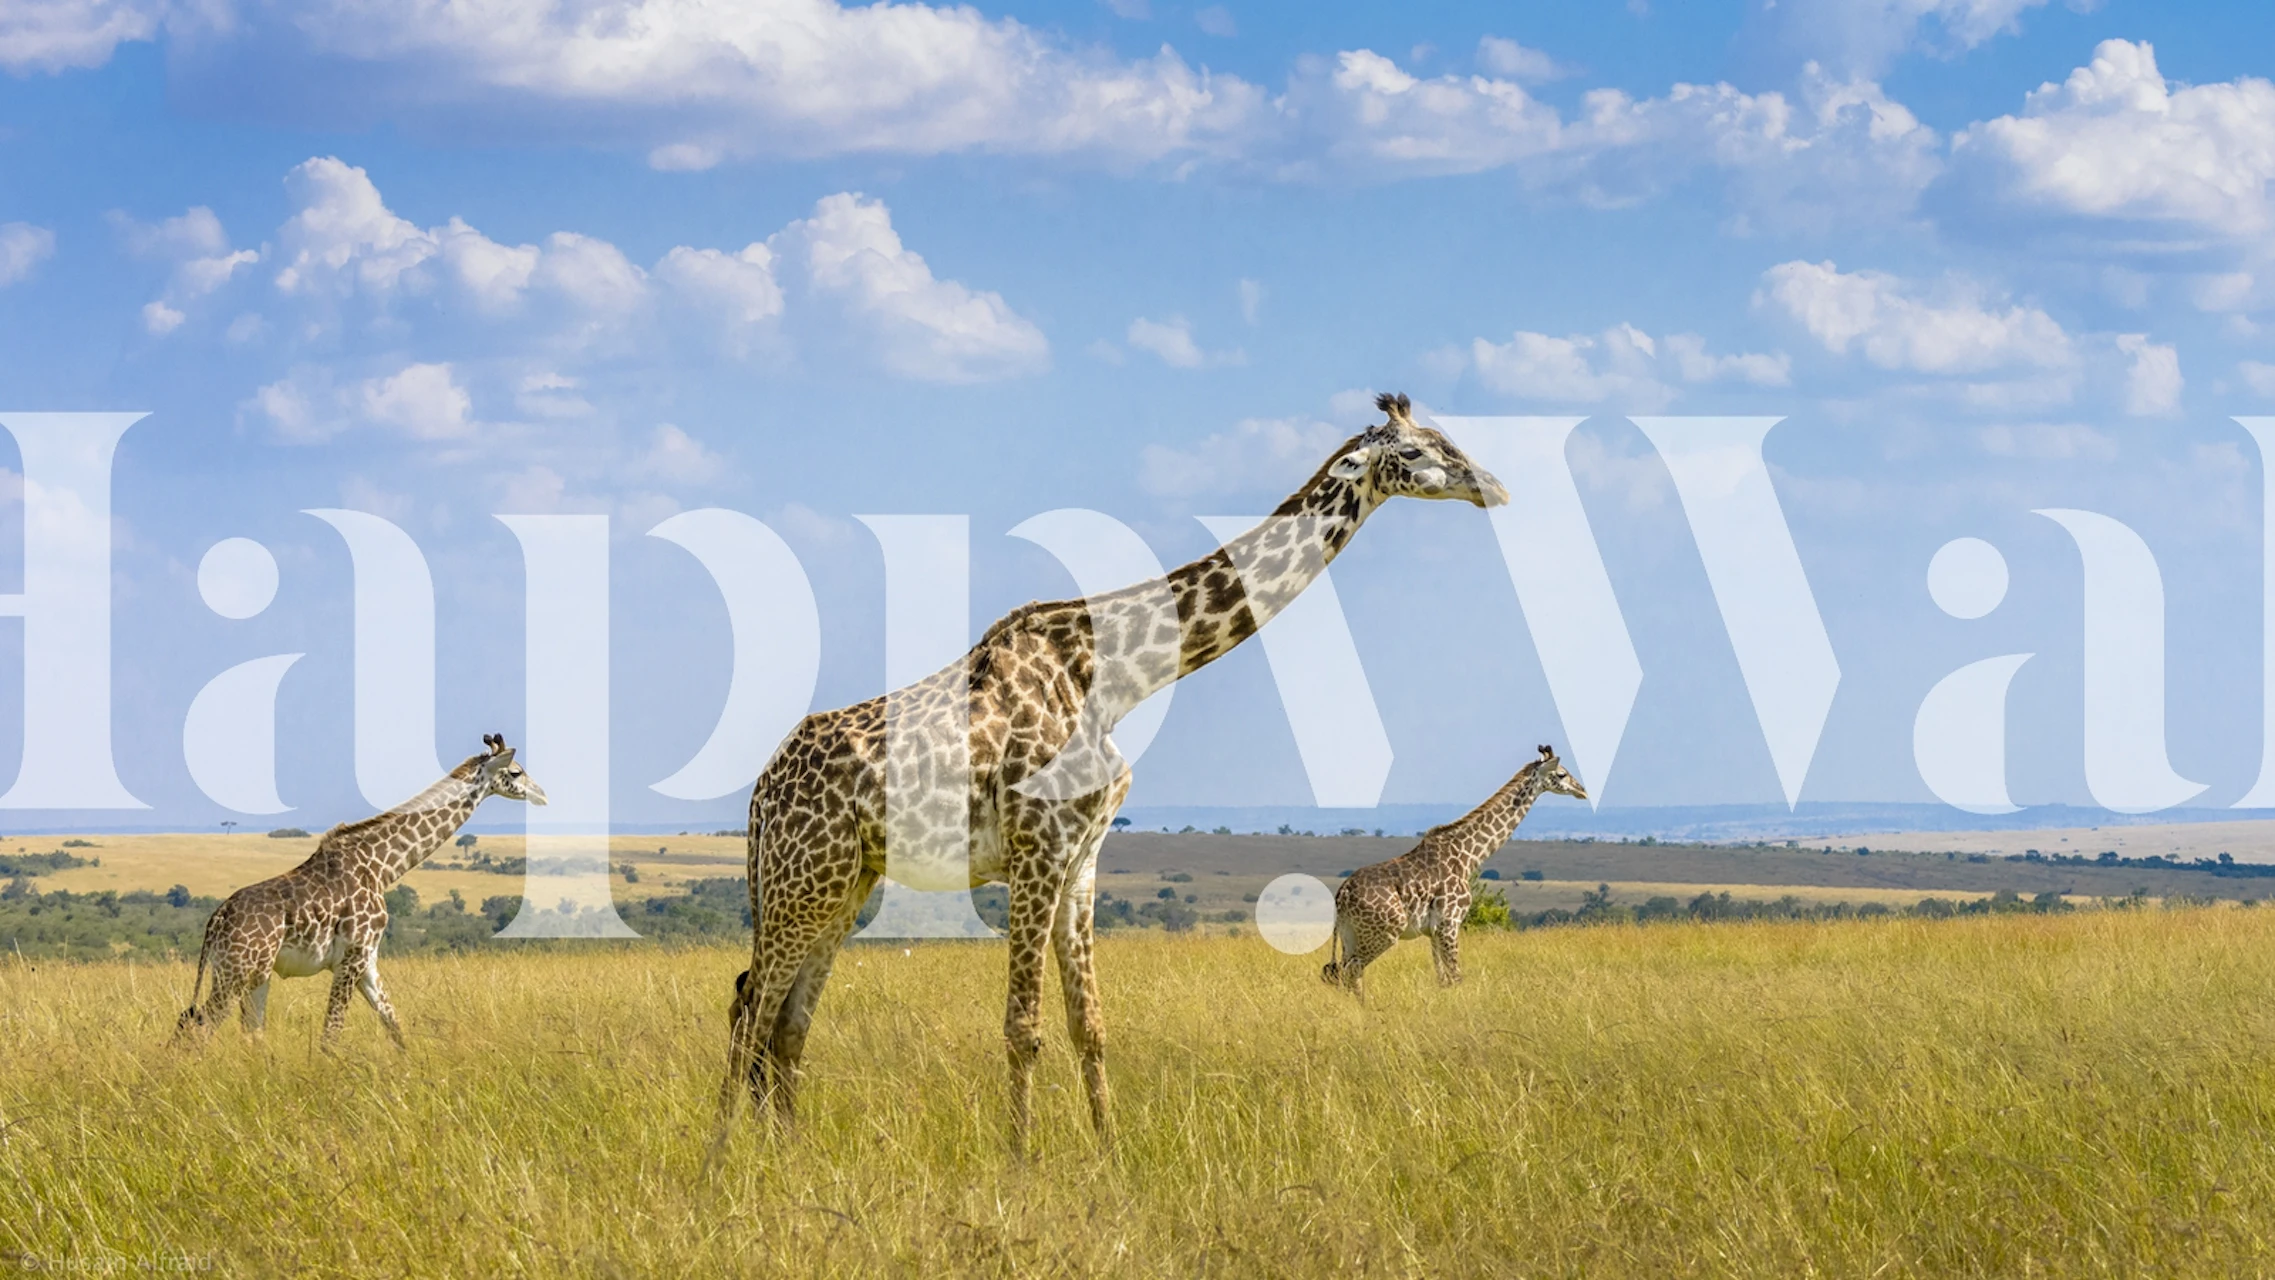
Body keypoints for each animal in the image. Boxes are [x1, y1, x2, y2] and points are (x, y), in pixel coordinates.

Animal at [176, 734, 548, 1048]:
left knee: (245, 1033)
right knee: (198, 1029)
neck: (382, 867)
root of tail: (215, 920)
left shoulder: (368, 961)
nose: (542, 794)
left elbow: (396, 1028)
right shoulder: (351, 958)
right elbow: (331, 1036)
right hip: (236, 972)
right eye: (516, 772)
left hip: (253, 974)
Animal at [716, 392, 1509, 1157]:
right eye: (1418, 450)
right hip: (798, 882)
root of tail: (760, 794)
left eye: (1447, 439)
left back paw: (789, 1154)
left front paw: (1110, 1154)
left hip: (841, 884)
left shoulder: (1082, 858)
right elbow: (1022, 1024)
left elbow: (1088, 1024)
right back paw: (724, 1163)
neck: (1113, 677)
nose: (1492, 487)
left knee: (784, 1022)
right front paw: (1022, 1163)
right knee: (749, 1009)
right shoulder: (1036, 849)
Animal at [1320, 744, 1586, 998]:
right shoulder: (1450, 922)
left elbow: (1443, 979)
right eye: (1562, 774)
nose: (1582, 790)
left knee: (1344, 972)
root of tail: (1342, 894)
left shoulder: (1434, 930)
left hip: (1350, 933)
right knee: (1352, 970)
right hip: (1385, 931)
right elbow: (1457, 977)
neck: (1468, 856)